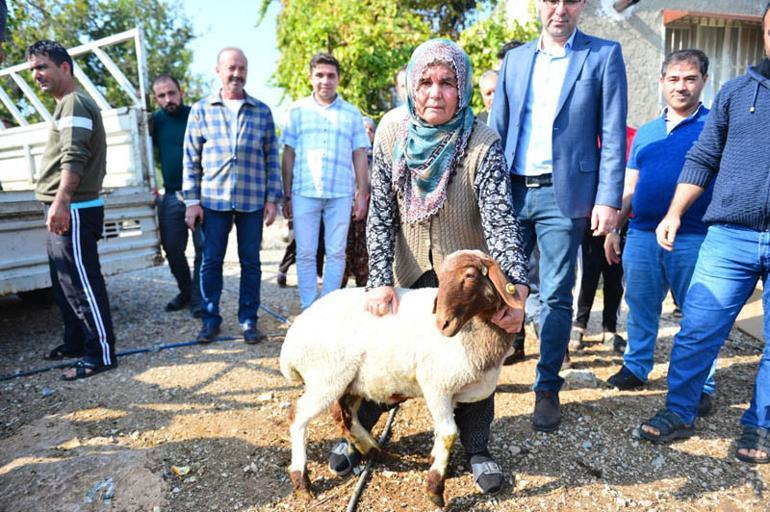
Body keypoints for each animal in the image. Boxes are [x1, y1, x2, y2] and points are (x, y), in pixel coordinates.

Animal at [278, 249, 520, 508]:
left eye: (470, 275)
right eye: (442, 278)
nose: (442, 323)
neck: (473, 330)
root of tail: (291, 342)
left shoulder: (452, 395)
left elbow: (441, 432)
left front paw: (434, 461)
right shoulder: (437, 386)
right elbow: (448, 433)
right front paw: (435, 489)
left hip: (351, 382)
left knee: (345, 416)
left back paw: (378, 453)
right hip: (326, 378)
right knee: (298, 416)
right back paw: (302, 480)